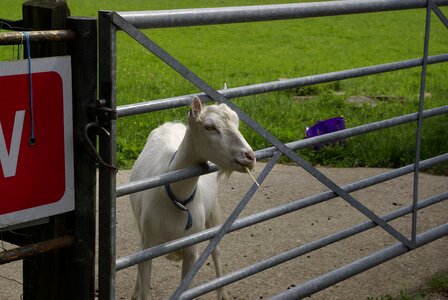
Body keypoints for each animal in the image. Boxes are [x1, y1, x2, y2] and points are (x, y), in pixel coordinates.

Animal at [130, 96, 256, 300]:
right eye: (209, 127)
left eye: (237, 123)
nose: (250, 157)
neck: (177, 200)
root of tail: (172, 123)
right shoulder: (147, 247)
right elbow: (144, 283)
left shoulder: (191, 250)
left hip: (213, 211)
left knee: (216, 250)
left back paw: (222, 293)